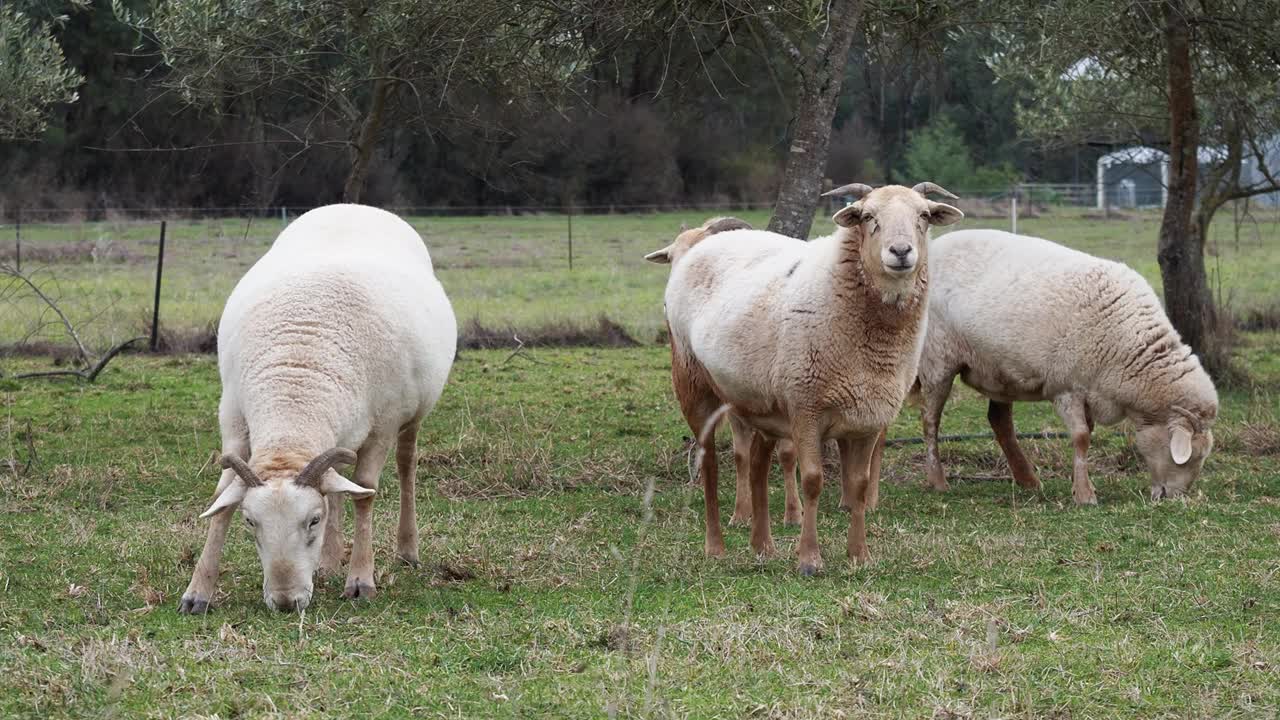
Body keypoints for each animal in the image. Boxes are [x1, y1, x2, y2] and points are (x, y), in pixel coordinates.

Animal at [177, 202, 458, 609]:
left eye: (312, 520)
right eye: (251, 522)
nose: (285, 602)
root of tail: (354, 206)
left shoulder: (384, 424)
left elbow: (365, 491)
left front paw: (361, 579)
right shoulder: (232, 417)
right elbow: (222, 497)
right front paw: (198, 591)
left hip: (413, 413)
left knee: (406, 466)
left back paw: (407, 550)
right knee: (336, 481)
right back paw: (328, 561)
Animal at [660, 180, 962, 571]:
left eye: (923, 215)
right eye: (868, 216)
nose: (900, 251)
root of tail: (702, 245)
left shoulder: (868, 415)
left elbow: (859, 484)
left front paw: (860, 554)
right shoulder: (806, 408)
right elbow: (813, 480)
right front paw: (809, 558)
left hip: (762, 401)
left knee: (757, 463)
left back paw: (763, 546)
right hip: (694, 384)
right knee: (709, 460)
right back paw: (715, 546)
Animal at [911, 228, 1218, 499]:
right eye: (1189, 457)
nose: (1173, 497)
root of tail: (934, 247)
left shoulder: (1091, 390)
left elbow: (1086, 435)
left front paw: (1078, 485)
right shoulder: (1067, 387)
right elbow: (1081, 437)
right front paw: (1084, 495)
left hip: (998, 368)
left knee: (999, 421)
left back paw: (1028, 480)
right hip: (937, 357)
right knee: (930, 419)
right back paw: (938, 480)